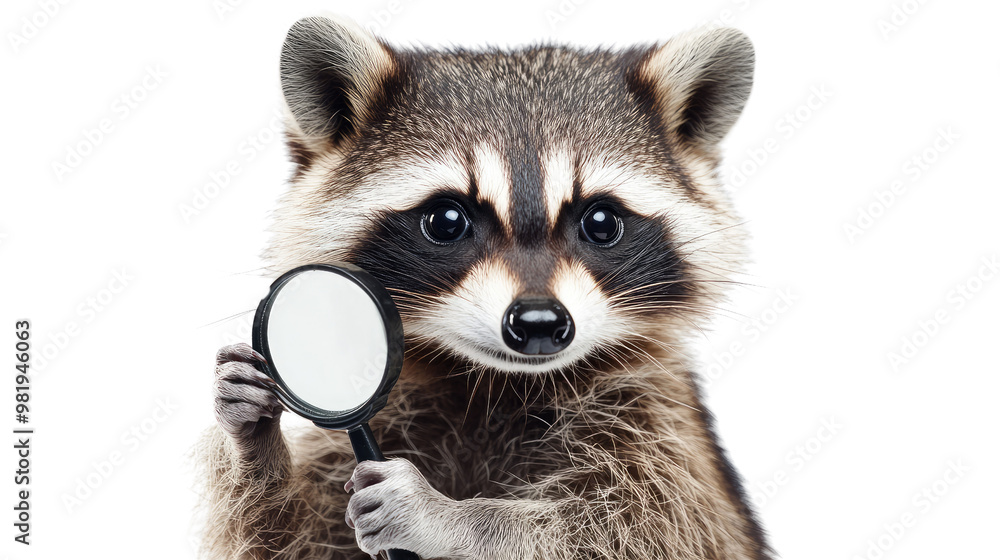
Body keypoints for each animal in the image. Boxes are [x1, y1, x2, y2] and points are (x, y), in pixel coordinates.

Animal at [198, 15, 769, 560]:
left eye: (602, 222)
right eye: (447, 221)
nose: (538, 323)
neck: (499, 385)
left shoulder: (664, 433)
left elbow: (639, 532)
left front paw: (456, 518)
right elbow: (293, 542)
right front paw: (253, 444)